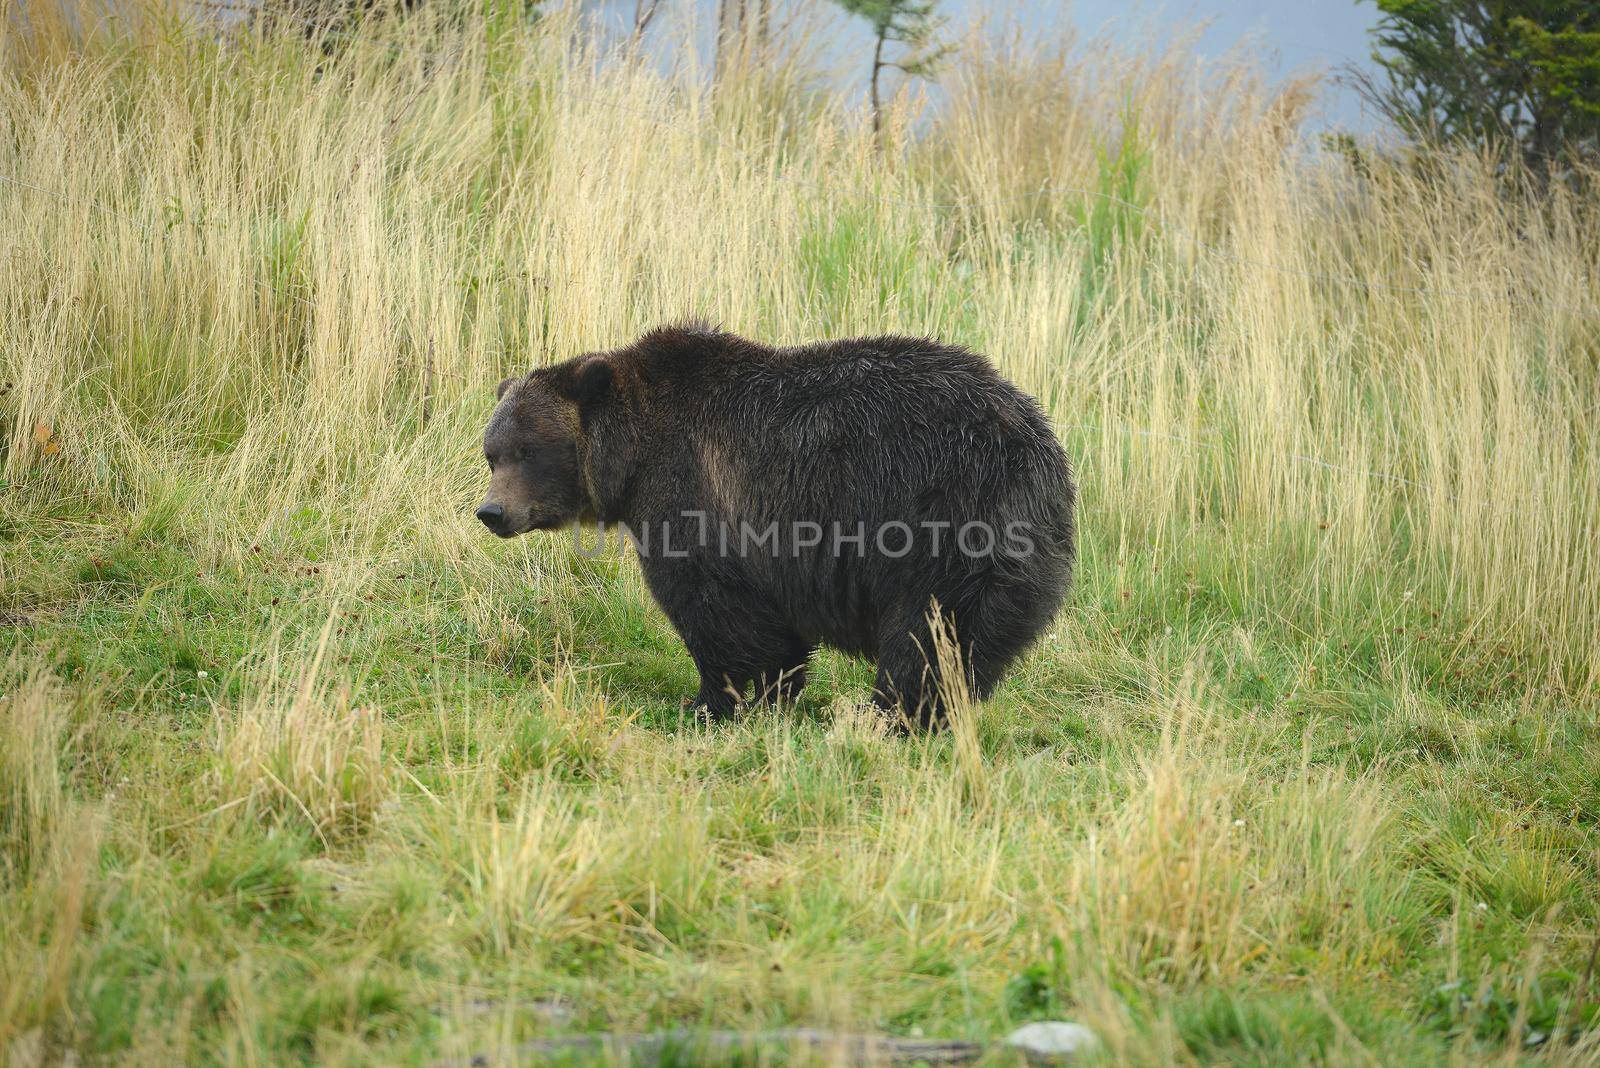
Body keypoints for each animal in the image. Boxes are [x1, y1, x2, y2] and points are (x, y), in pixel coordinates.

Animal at [473, 321, 1075, 729]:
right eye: (491, 453)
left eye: (528, 451)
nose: (491, 512)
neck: (634, 457)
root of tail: (1041, 447)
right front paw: (764, 692)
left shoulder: (695, 492)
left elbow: (716, 609)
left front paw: (712, 702)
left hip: (943, 519)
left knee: (929, 630)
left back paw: (889, 714)